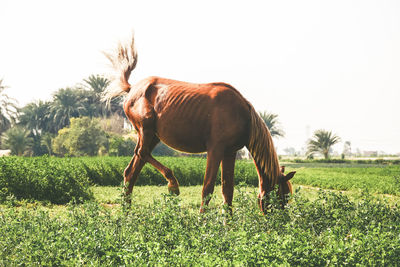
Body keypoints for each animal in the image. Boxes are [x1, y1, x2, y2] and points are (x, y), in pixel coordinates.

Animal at [104, 35, 296, 214]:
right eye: (282, 196)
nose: (280, 221)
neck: (242, 115)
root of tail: (132, 89)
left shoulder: (230, 152)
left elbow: (228, 190)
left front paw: (229, 223)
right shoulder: (215, 150)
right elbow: (208, 188)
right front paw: (202, 221)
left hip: (153, 137)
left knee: (131, 172)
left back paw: (127, 214)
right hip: (147, 131)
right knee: (141, 154)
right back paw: (172, 185)